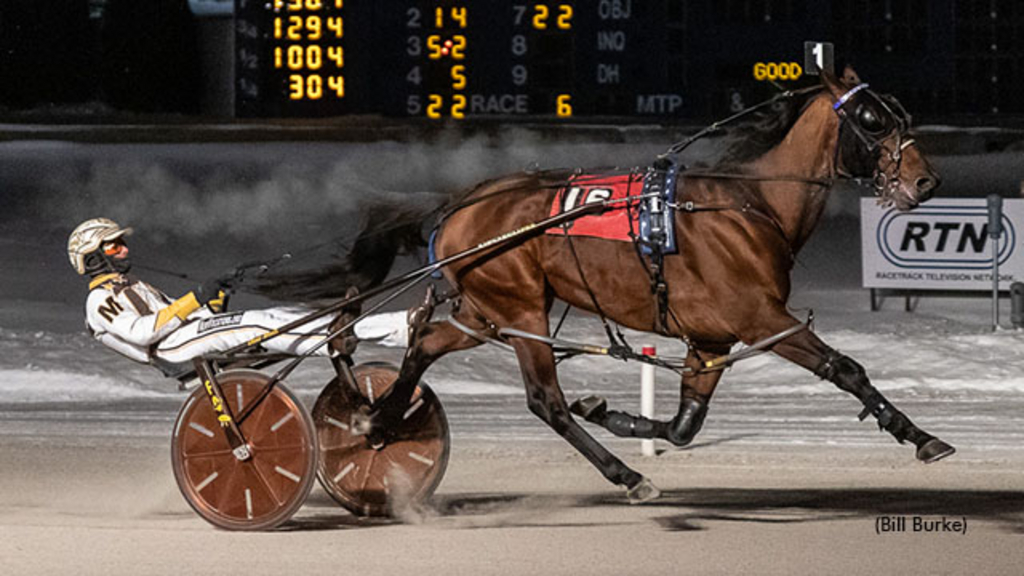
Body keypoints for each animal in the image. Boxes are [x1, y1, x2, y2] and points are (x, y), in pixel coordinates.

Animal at [350, 66, 950, 498]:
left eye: (902, 112)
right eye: (872, 119)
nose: (927, 181)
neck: (751, 203)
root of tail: (459, 204)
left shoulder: (711, 337)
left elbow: (685, 424)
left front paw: (610, 413)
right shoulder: (761, 319)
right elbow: (845, 369)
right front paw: (922, 437)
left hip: (485, 313)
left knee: (425, 343)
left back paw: (378, 423)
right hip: (519, 310)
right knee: (546, 402)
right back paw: (628, 477)